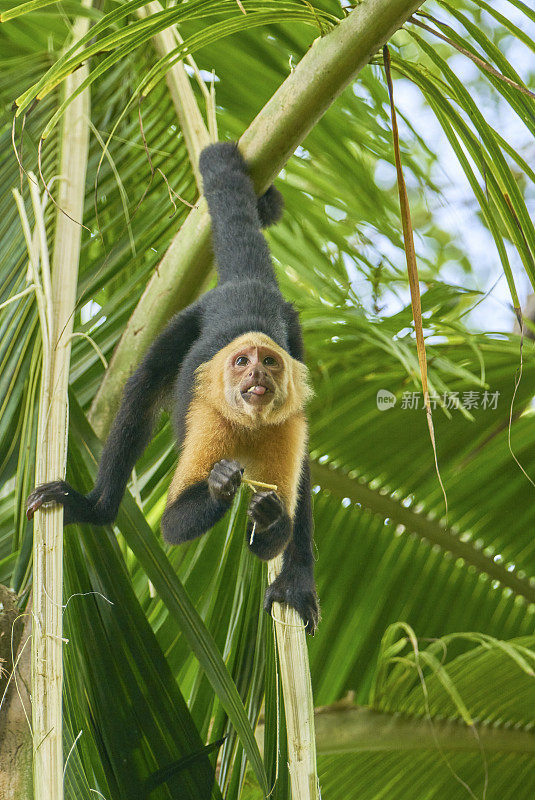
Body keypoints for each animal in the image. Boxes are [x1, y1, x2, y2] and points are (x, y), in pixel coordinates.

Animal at [27, 142, 320, 632]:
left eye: (269, 363)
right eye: (242, 363)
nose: (257, 376)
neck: (249, 424)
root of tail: (246, 286)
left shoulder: (287, 424)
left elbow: (278, 524)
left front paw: (271, 520)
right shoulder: (208, 415)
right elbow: (173, 524)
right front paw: (222, 483)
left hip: (292, 328)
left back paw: (297, 581)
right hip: (191, 314)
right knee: (143, 388)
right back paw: (96, 507)